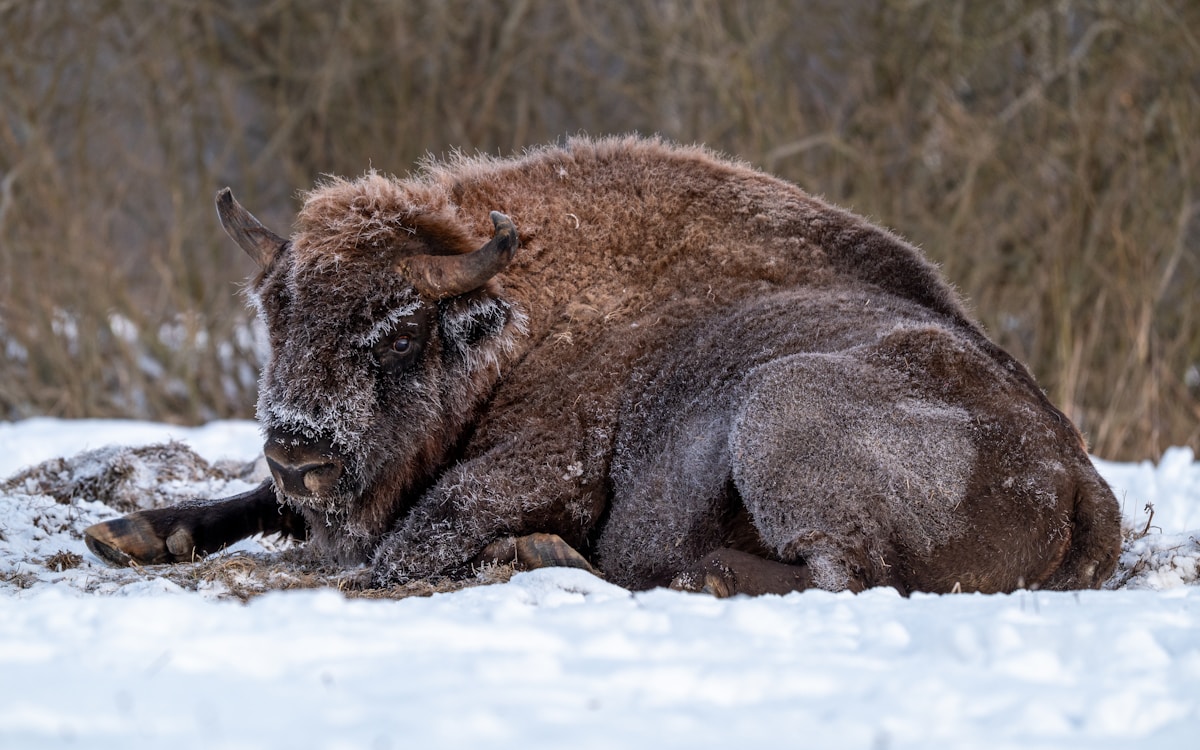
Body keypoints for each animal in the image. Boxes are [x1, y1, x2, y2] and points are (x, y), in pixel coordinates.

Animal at [85, 136, 1121, 596]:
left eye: (402, 336)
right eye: (275, 315)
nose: (301, 454)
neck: (518, 323)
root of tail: (1077, 475)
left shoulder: (544, 463)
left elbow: (407, 540)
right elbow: (256, 504)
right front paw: (130, 531)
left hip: (779, 407)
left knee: (840, 572)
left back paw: (607, 563)